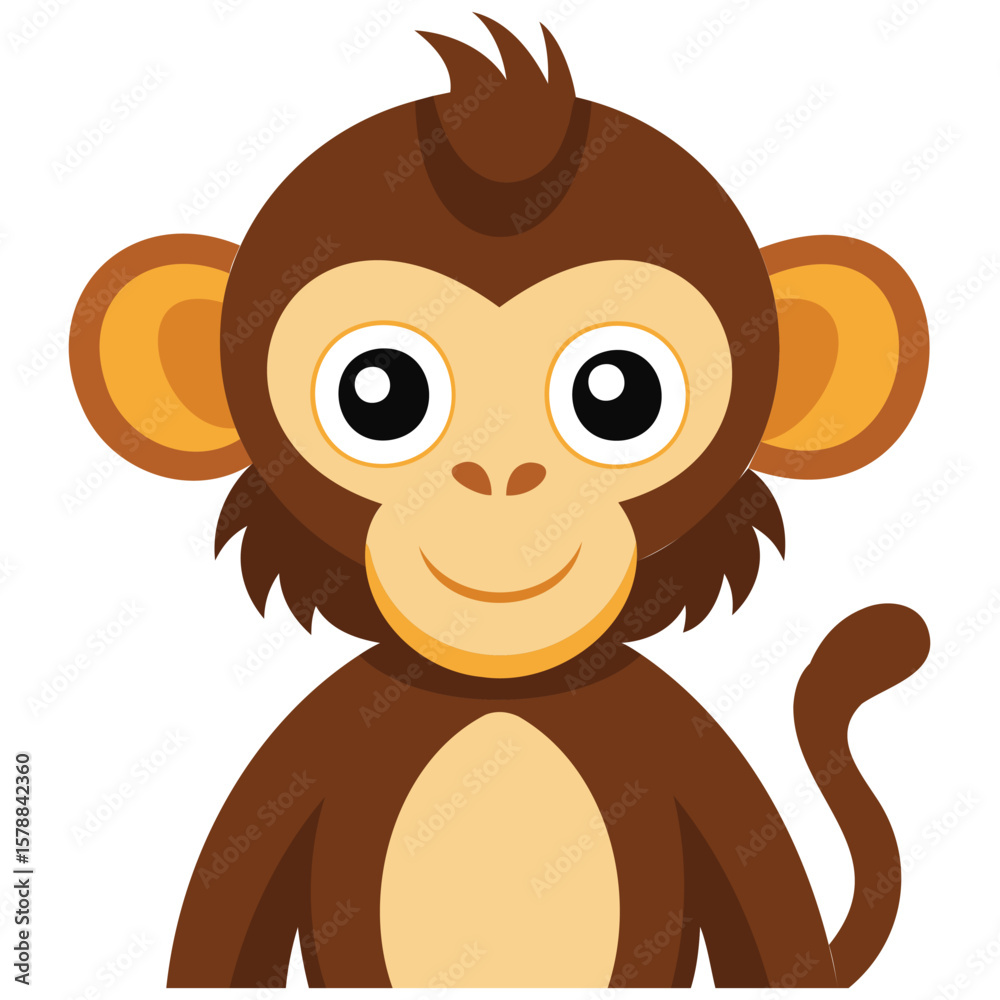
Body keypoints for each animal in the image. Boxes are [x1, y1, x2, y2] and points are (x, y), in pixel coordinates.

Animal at [69, 15, 931, 989]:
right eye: (378, 391)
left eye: (619, 393)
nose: (502, 474)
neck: (503, 691)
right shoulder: (306, 751)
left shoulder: (695, 756)